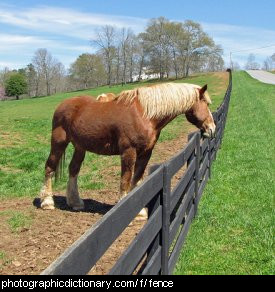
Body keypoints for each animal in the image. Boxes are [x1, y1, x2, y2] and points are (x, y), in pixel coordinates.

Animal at [39, 81, 216, 218]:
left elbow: (137, 179)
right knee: (49, 167)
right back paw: (47, 202)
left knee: (73, 170)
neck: (145, 114)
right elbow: (126, 179)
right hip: (59, 142)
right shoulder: (128, 151)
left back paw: (75, 202)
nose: (212, 128)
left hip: (80, 147)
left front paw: (139, 211)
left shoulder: (146, 153)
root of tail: (63, 104)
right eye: (206, 104)